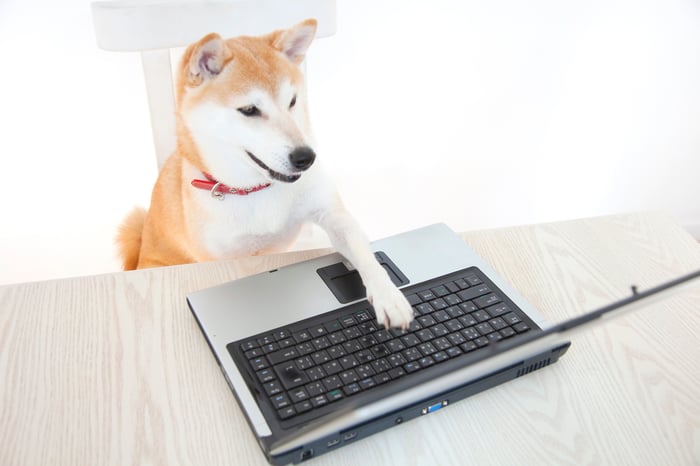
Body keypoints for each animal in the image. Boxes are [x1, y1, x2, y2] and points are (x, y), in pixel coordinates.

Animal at [114, 19, 412, 328]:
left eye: (292, 101)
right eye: (249, 109)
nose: (306, 158)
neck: (256, 189)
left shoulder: (332, 214)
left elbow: (364, 253)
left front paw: (389, 297)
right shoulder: (221, 255)